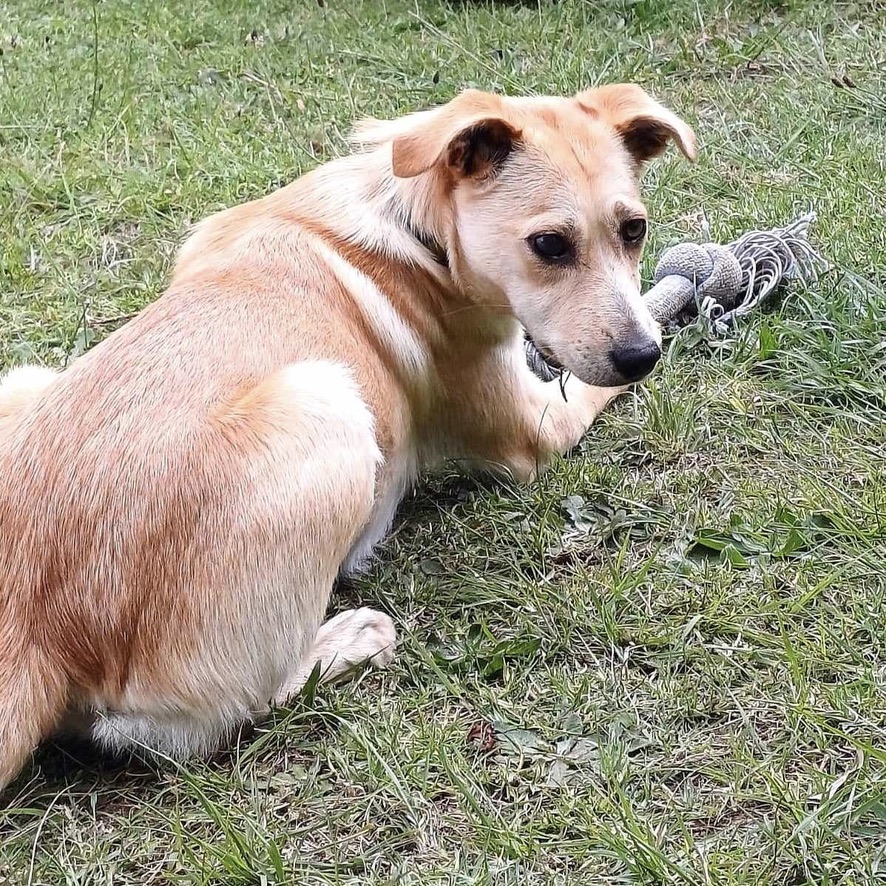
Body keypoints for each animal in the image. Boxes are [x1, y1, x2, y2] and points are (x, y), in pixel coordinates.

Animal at [0, 83, 692, 792]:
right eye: (550, 244)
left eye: (634, 230)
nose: (641, 356)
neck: (415, 221)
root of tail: (35, 626)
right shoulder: (536, 427)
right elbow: (604, 370)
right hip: (327, 404)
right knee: (232, 708)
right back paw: (351, 639)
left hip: (26, 381)